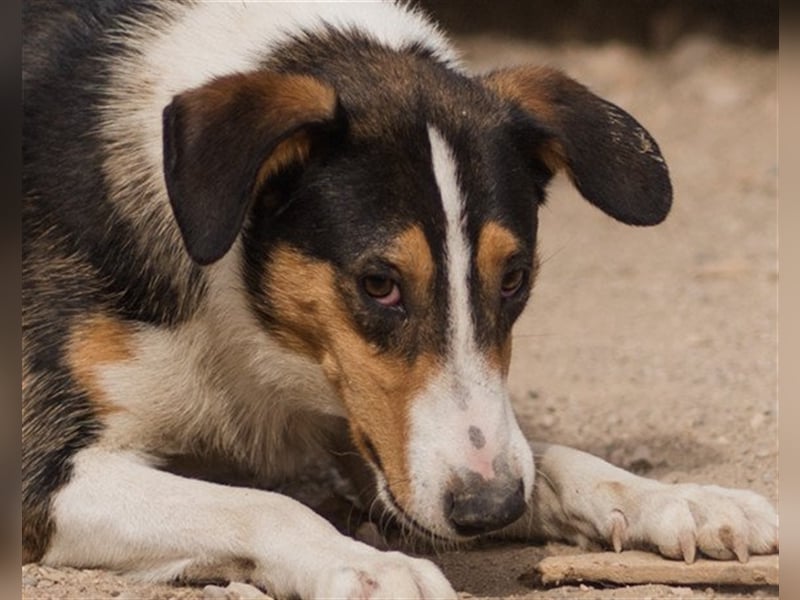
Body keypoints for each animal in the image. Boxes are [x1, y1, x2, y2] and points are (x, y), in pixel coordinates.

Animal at [23, 2, 776, 596]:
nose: (491, 509)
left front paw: (681, 499)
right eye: (378, 283)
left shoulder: (376, 433)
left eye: (514, 277)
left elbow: (548, 455)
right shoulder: (39, 474)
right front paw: (365, 565)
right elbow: (263, 505)